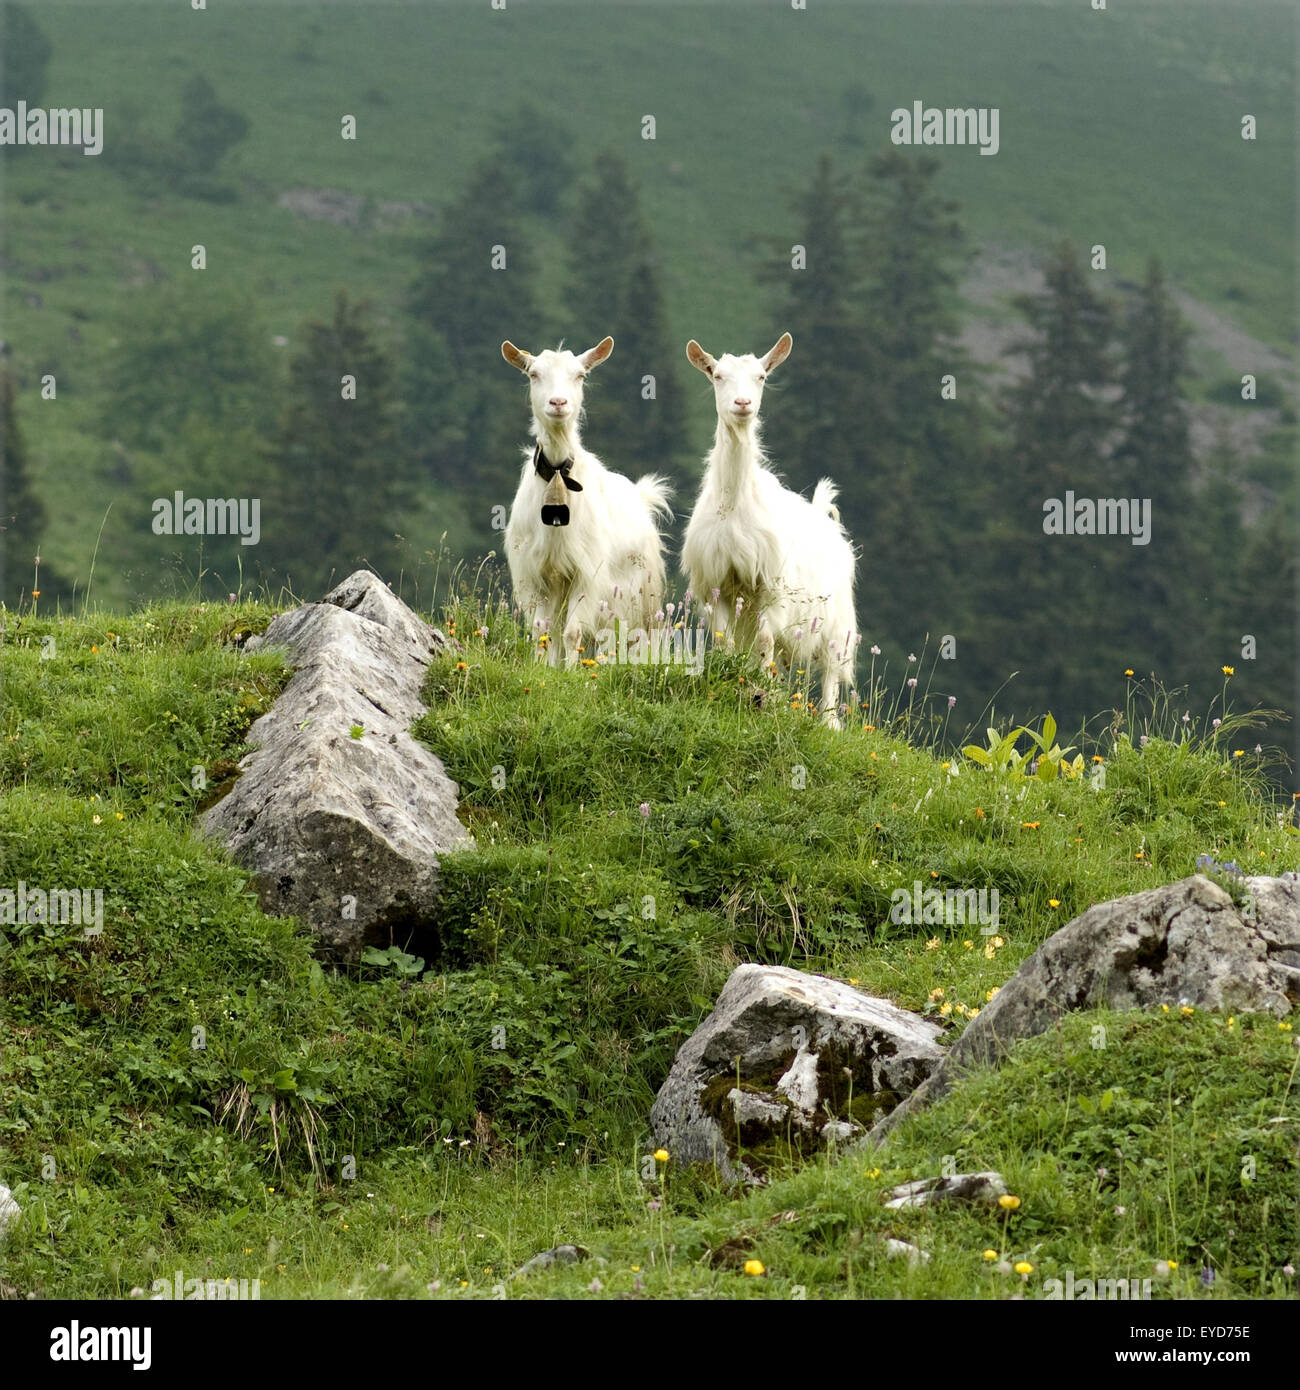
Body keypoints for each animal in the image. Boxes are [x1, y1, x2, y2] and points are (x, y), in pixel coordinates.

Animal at [503, 334, 675, 661]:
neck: (558, 473)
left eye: (580, 375)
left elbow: (573, 633)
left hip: (641, 596)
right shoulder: (533, 575)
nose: (558, 403)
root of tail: (641, 495)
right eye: (534, 374)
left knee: (640, 638)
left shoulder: (587, 572)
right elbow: (542, 632)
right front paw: (543, 669)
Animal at [681, 333, 862, 728]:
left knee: (830, 668)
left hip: (836, 618)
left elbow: (764, 644)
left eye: (762, 376)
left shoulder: (773, 590)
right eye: (717, 375)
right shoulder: (717, 585)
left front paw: (760, 694)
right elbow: (726, 643)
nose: (742, 403)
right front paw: (739, 683)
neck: (734, 506)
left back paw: (828, 722)